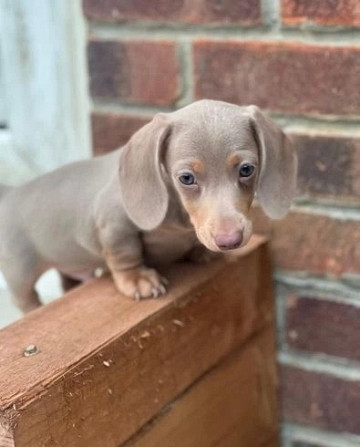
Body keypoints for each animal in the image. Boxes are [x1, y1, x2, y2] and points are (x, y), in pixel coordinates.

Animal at [0, 100, 296, 314]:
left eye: (247, 169)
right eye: (186, 178)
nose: (229, 241)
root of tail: (10, 194)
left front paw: (201, 251)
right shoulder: (114, 223)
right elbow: (125, 253)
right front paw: (138, 279)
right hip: (19, 274)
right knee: (25, 299)